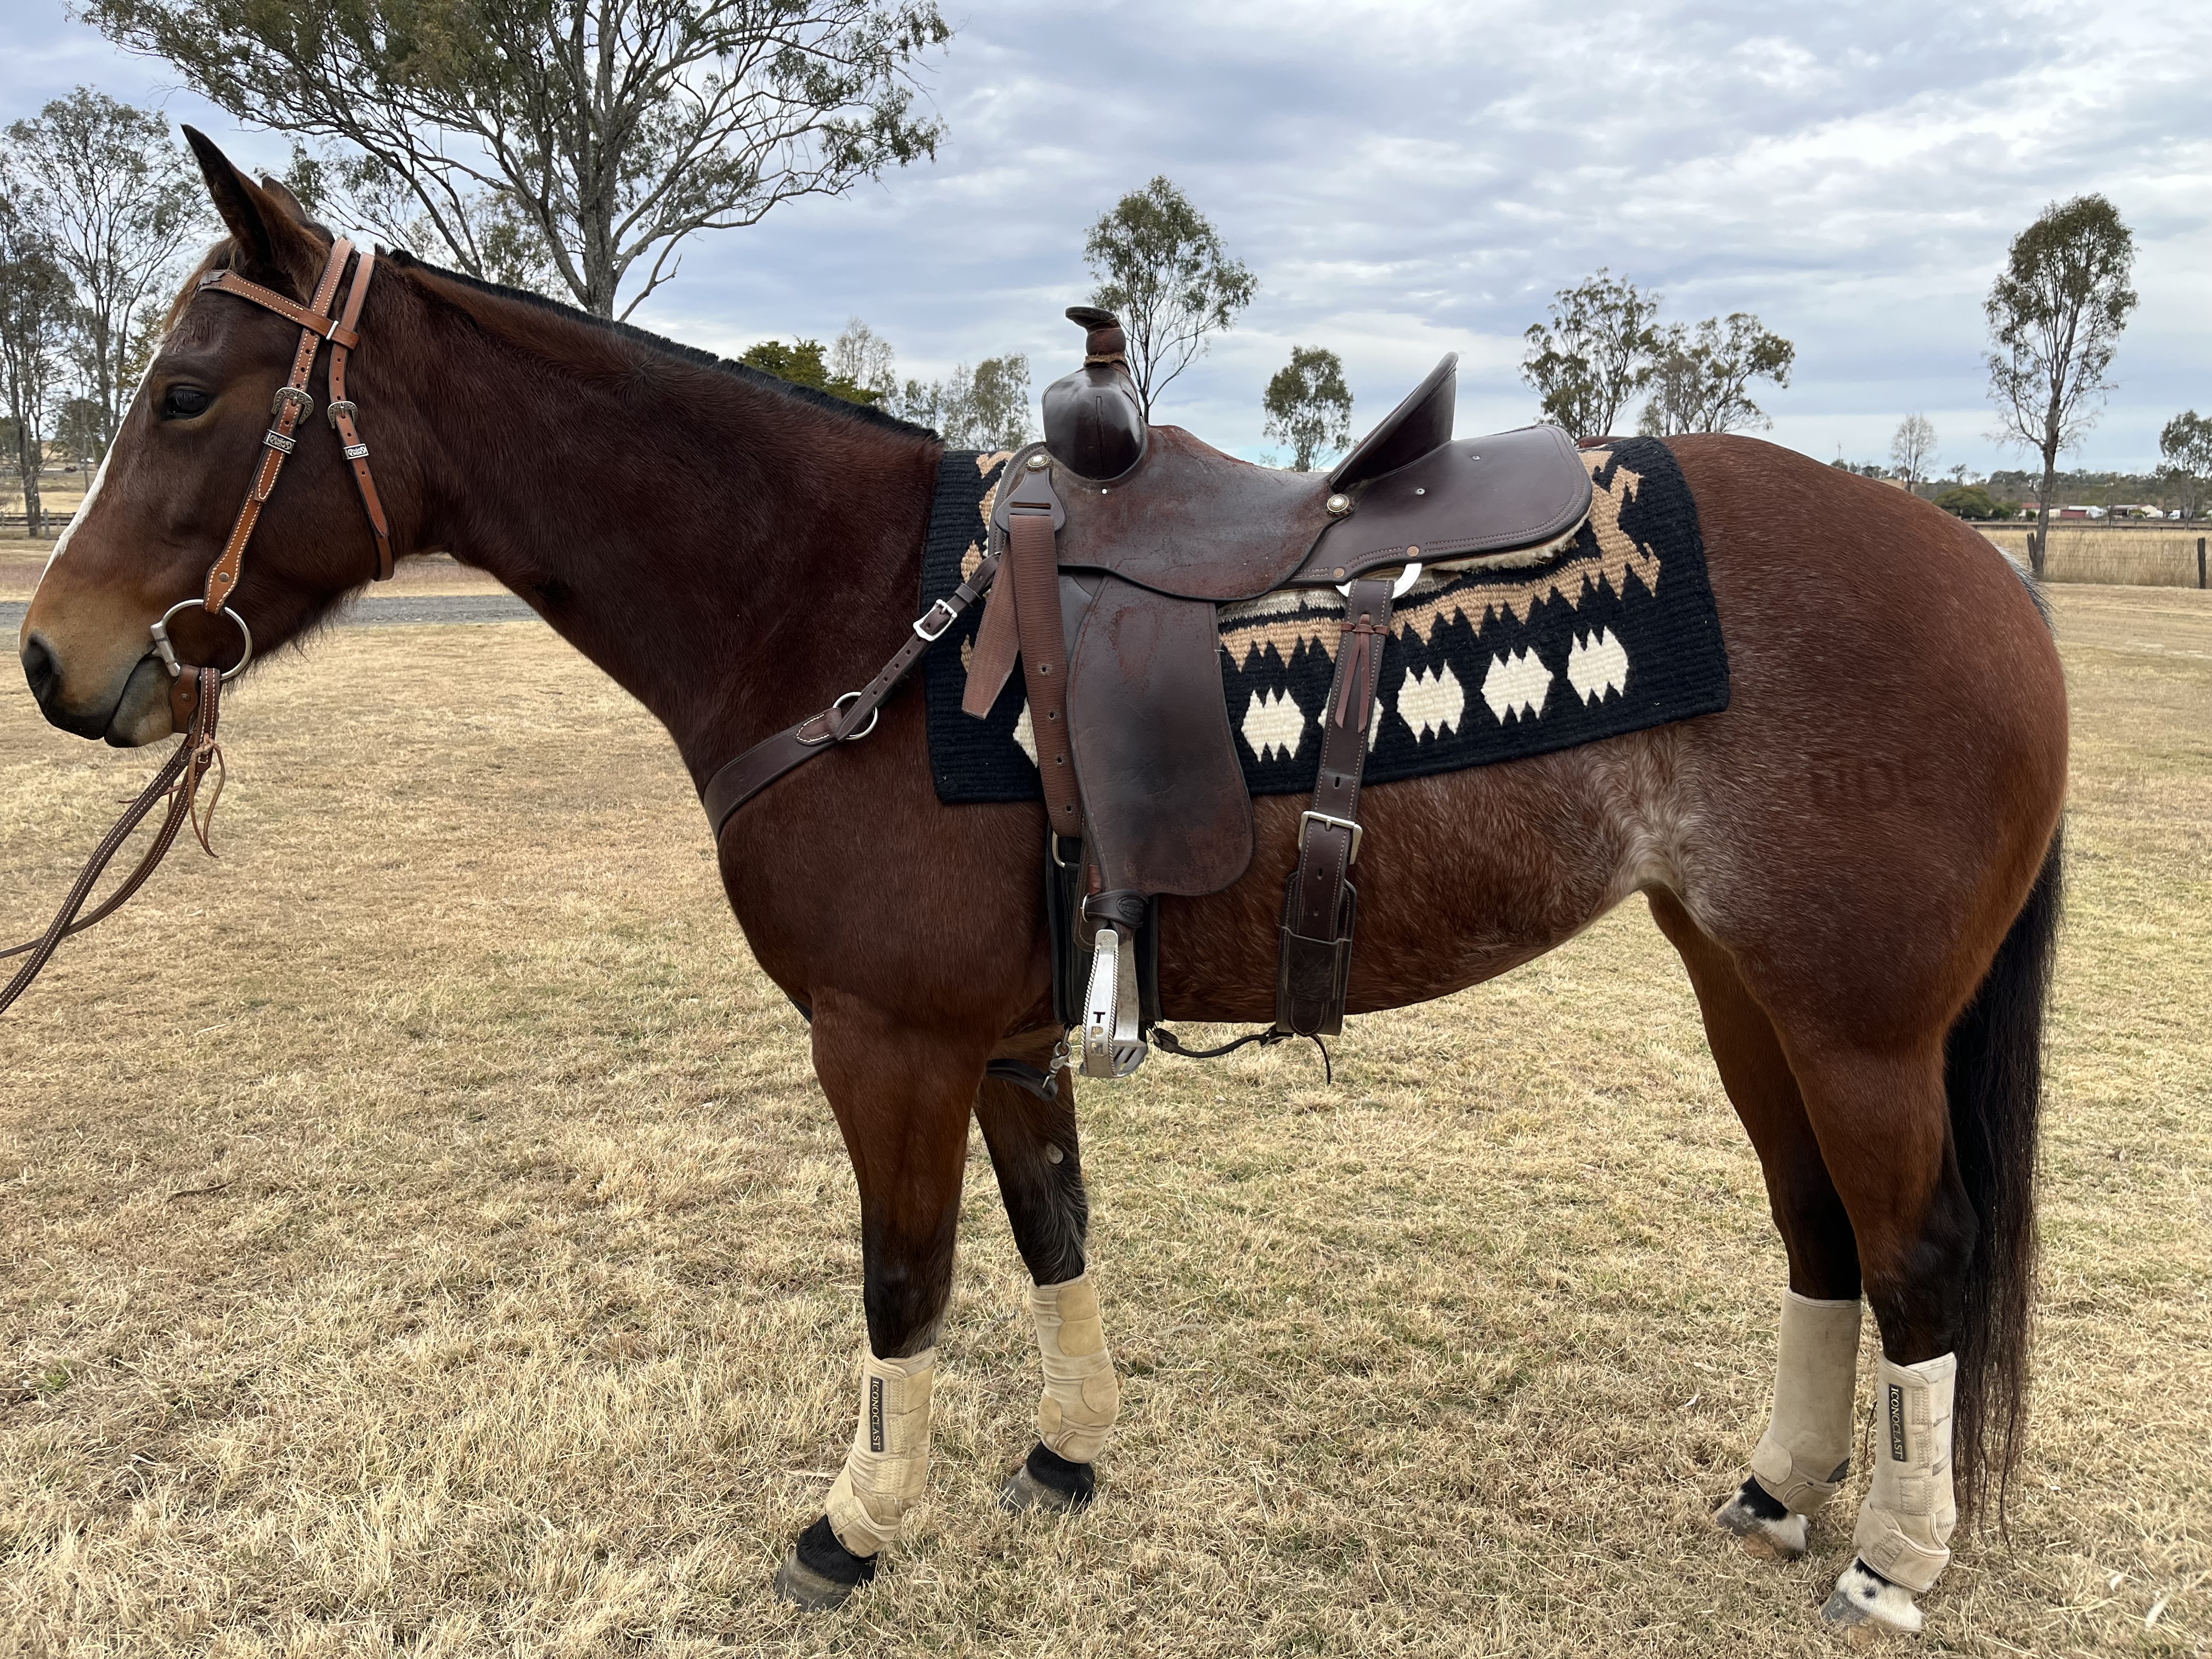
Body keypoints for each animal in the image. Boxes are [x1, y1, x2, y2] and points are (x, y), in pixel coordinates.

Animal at [16, 132, 2066, 1638]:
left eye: (186, 393)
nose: (53, 659)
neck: (846, 610)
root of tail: (1991, 577)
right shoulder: (1004, 1039)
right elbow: (1053, 1233)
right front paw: (1070, 1454)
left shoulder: (888, 1042)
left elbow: (904, 1276)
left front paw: (857, 1518)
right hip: (1747, 987)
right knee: (1819, 1234)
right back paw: (1784, 1489)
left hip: (1859, 1020)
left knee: (1919, 1253)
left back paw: (1895, 1555)